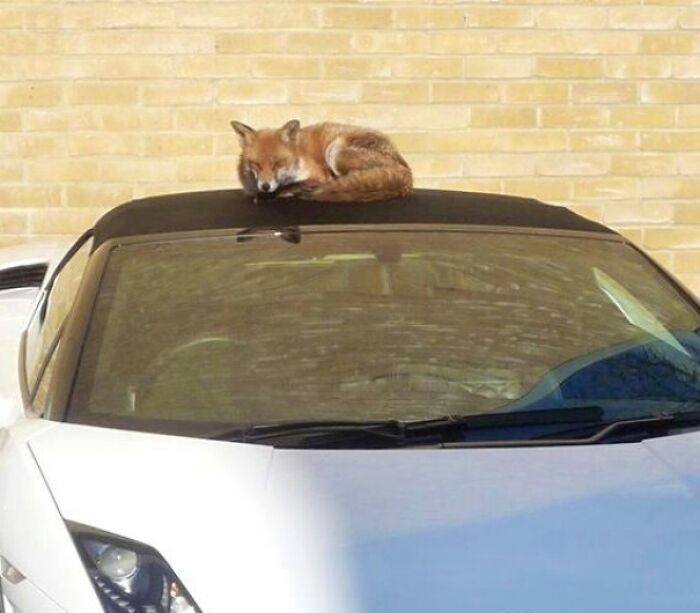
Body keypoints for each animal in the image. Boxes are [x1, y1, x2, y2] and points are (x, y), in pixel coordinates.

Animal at [230, 120, 413, 202]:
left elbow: (294, 184)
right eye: (255, 165)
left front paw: (276, 193)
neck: (298, 155)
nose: (265, 186)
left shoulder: (318, 175)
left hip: (335, 152)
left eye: (277, 164)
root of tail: (407, 172)